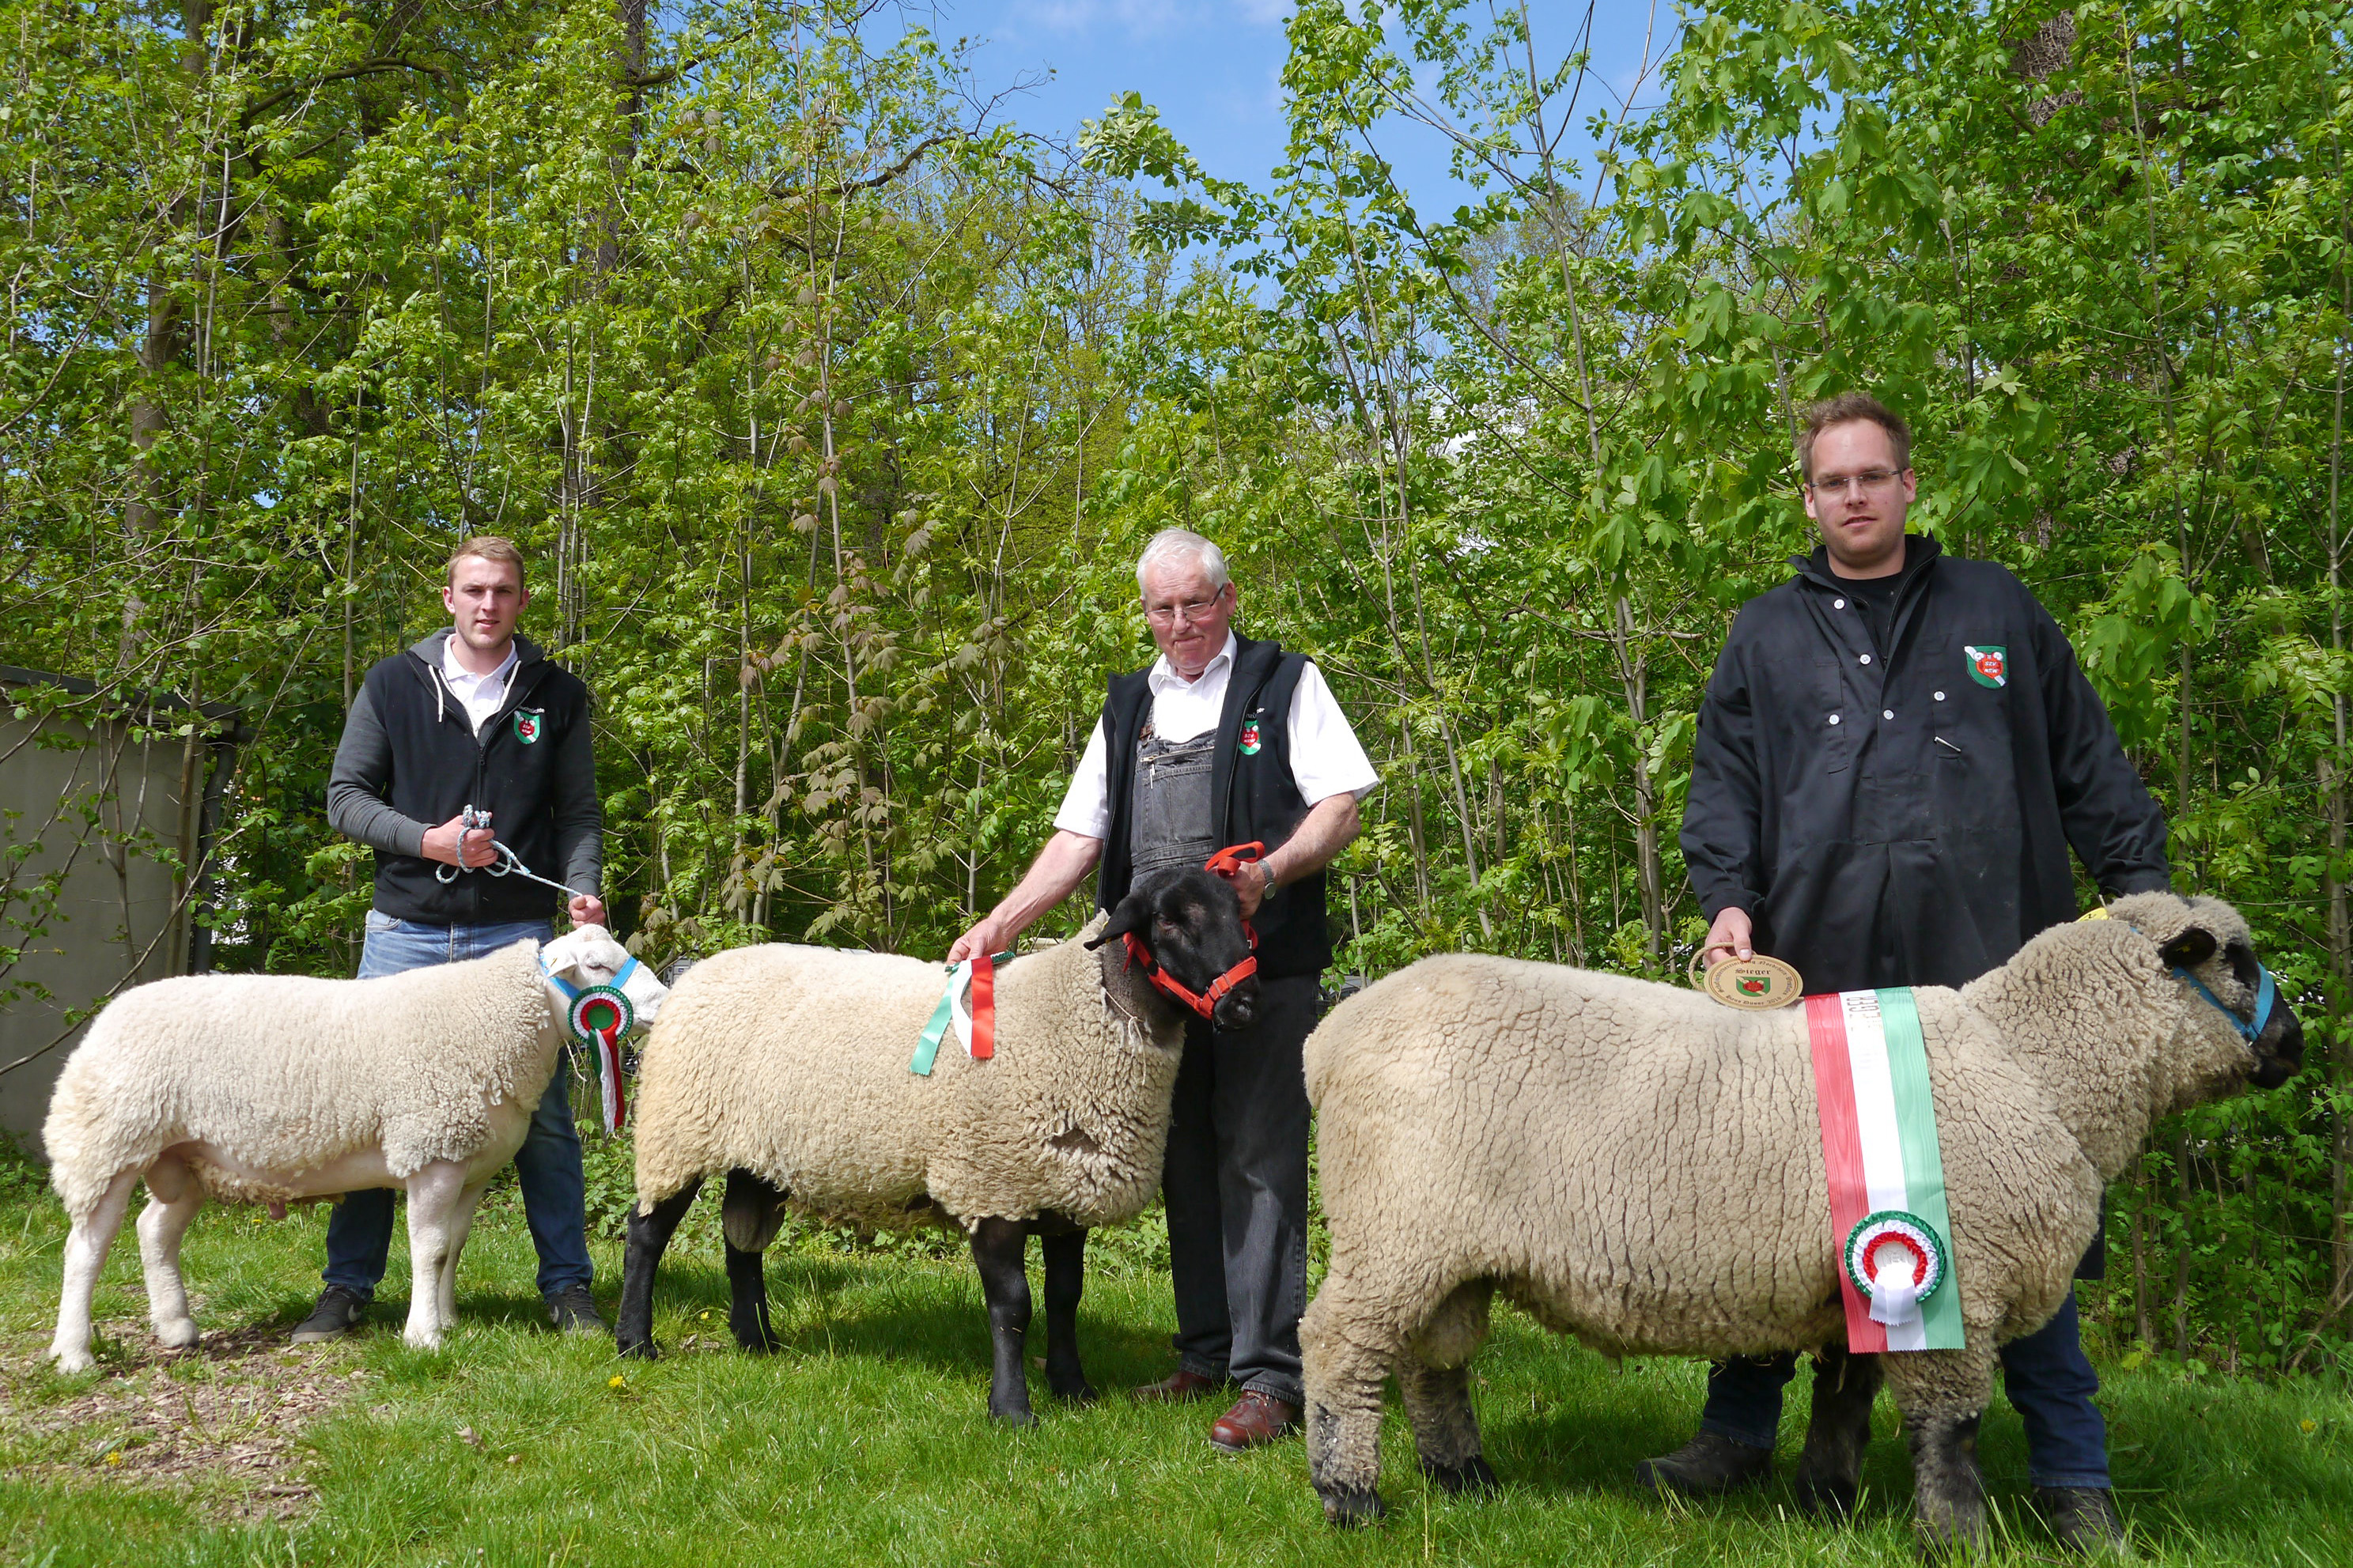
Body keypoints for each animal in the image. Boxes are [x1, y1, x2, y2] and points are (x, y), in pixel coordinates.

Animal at [41, 921, 663, 1373]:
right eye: (598, 966)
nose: (663, 1001)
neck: (497, 1019)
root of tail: (107, 1016)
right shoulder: (431, 1151)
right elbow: (430, 1247)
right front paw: (424, 1335)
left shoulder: (470, 1164)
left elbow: (454, 1247)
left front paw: (447, 1318)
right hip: (107, 1144)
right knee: (86, 1249)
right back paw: (75, 1353)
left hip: (185, 1158)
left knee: (154, 1231)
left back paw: (176, 1327)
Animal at [616, 865, 1261, 1429]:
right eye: (1169, 920)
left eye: (1241, 914)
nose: (1244, 1005)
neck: (1077, 1016)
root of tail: (696, 972)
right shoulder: (992, 1182)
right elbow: (1014, 1305)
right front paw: (1012, 1411)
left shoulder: (1063, 1191)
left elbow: (1065, 1297)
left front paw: (1074, 1389)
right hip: (678, 1131)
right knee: (646, 1235)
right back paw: (634, 1343)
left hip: (758, 1153)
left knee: (741, 1241)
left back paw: (758, 1341)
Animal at [1308, 893, 2315, 1561]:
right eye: (2235, 960)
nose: (2298, 1045)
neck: (2037, 1069)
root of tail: (1331, 1035)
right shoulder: (1958, 1285)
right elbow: (1948, 1428)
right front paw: (1955, 1537)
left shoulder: (1876, 1278)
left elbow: (1843, 1397)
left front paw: (1824, 1504)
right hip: (1391, 1223)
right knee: (1339, 1349)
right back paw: (1349, 1498)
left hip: (1441, 1246)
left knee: (1429, 1363)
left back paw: (1463, 1481)